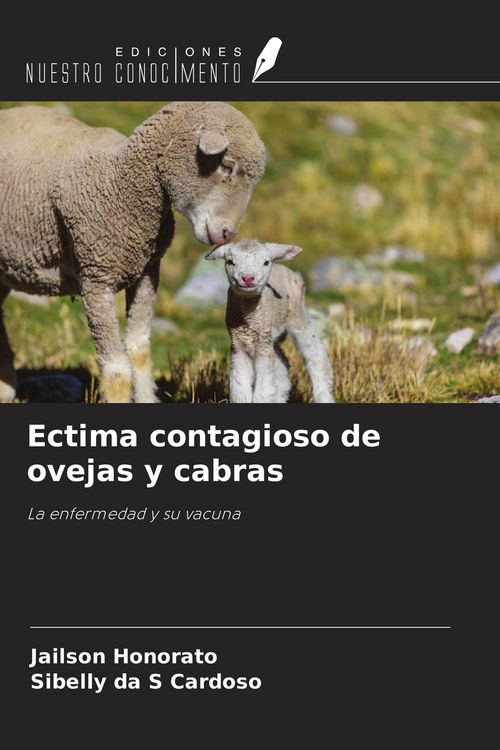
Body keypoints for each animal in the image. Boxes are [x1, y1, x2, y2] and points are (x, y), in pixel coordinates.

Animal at [0, 102, 266, 403]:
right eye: (227, 166)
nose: (227, 234)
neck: (122, 183)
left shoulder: (147, 272)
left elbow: (139, 351)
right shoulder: (96, 277)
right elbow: (116, 369)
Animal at [206, 239, 334, 403]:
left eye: (266, 262)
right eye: (230, 262)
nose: (248, 278)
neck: (249, 321)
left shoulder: (262, 344)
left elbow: (263, 390)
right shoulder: (238, 344)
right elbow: (240, 388)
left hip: (298, 316)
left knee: (316, 356)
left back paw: (324, 396)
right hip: (271, 335)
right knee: (282, 366)